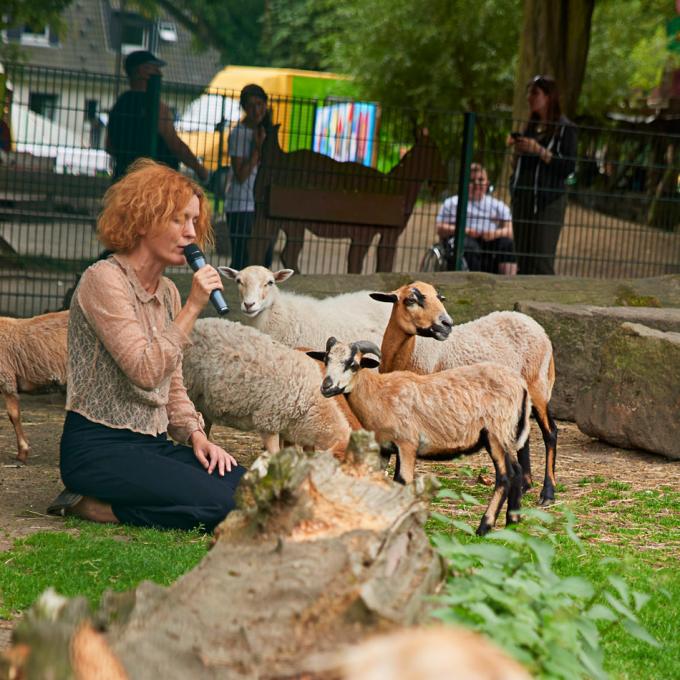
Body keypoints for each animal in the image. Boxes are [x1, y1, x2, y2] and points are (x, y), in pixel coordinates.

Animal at [183, 318, 356, 456]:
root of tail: (199, 322)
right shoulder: (268, 420)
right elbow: (274, 453)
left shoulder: (287, 429)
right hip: (189, 386)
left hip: (203, 401)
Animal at [310, 338, 532, 532]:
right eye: (326, 359)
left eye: (353, 364)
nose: (326, 387)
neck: (378, 394)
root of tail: (521, 385)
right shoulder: (385, 447)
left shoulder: (407, 443)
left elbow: (402, 481)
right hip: (505, 435)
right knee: (517, 471)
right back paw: (512, 523)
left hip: (495, 432)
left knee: (506, 476)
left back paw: (484, 526)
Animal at [372, 282, 556, 504]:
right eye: (411, 300)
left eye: (440, 298)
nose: (446, 323)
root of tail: (534, 324)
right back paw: (525, 485)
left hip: (537, 384)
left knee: (550, 433)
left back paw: (548, 493)